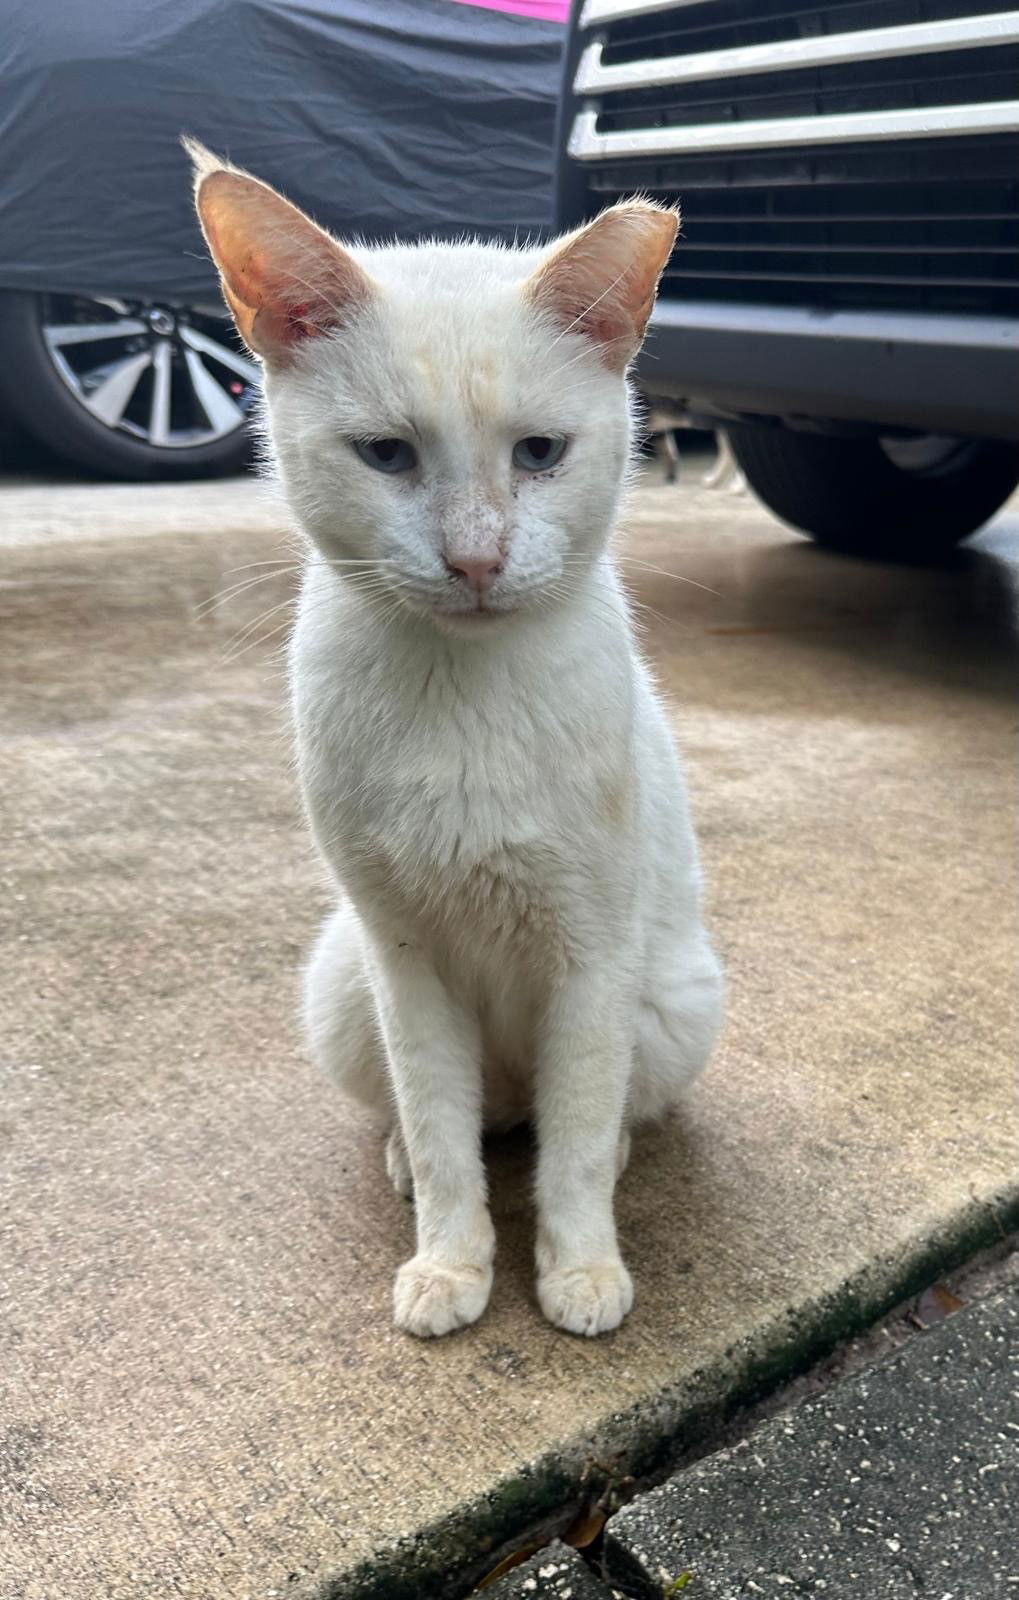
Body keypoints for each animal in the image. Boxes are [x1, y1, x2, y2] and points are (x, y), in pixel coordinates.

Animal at [187, 140, 719, 1337]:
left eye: (539, 452)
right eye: (386, 454)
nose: (476, 560)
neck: (462, 692)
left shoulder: (592, 957)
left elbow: (575, 1143)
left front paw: (578, 1269)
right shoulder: (404, 959)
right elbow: (438, 1126)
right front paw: (448, 1262)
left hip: (669, 998)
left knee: (584, 1117)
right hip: (342, 981)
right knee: (464, 1121)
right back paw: (407, 1161)